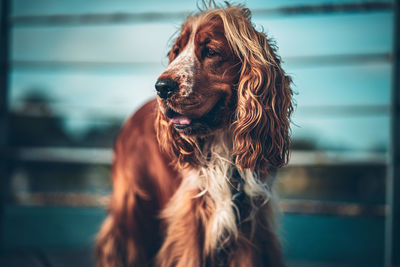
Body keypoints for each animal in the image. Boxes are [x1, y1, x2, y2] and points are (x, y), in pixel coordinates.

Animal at [95, 2, 292, 267]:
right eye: (176, 52)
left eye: (211, 52)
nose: (161, 87)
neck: (223, 142)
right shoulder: (191, 219)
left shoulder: (250, 222)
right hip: (132, 206)